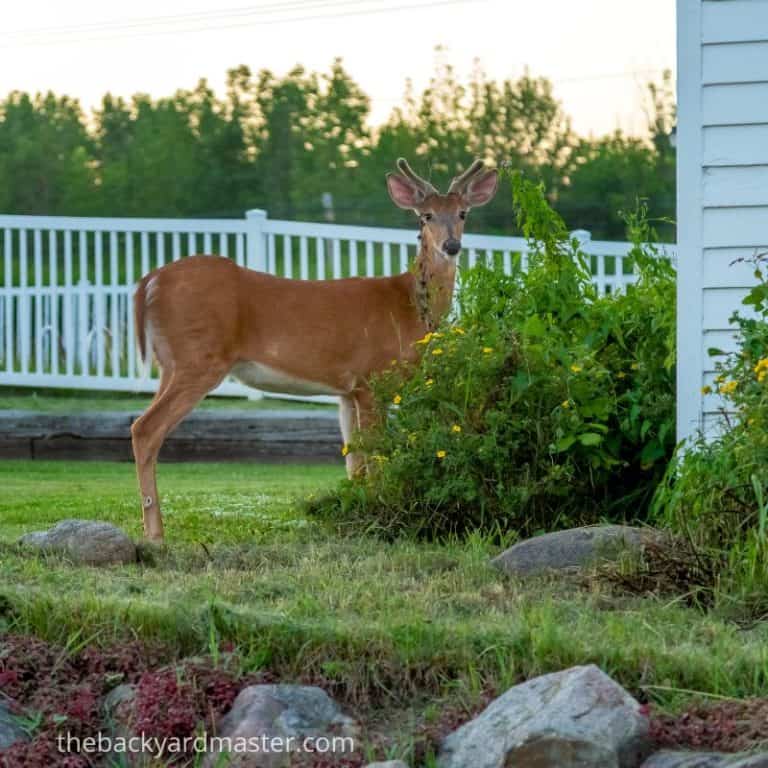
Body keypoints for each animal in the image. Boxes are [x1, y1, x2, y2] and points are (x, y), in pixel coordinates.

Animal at [131, 158, 498, 542]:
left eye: (463, 213)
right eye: (425, 216)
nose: (452, 246)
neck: (409, 306)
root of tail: (149, 281)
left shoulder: (348, 391)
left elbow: (354, 464)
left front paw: (356, 518)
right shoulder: (373, 379)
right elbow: (375, 457)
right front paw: (383, 518)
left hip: (171, 363)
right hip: (199, 359)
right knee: (145, 429)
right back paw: (155, 534)